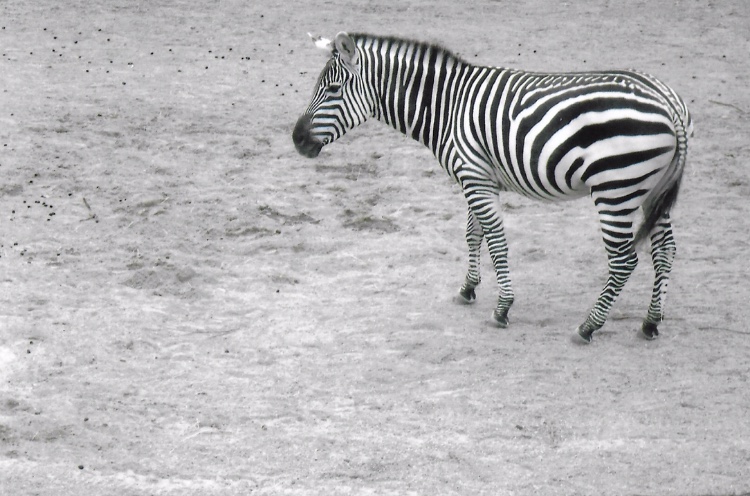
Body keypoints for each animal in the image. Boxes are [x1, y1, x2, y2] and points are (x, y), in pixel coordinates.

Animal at [293, 32, 692, 343]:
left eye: (332, 89)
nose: (296, 140)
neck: (446, 106)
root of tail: (668, 102)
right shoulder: (479, 177)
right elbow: (474, 233)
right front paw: (469, 288)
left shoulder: (473, 176)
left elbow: (496, 241)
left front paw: (502, 308)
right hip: (649, 190)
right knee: (665, 251)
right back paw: (650, 322)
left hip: (614, 190)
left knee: (624, 260)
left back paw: (588, 326)